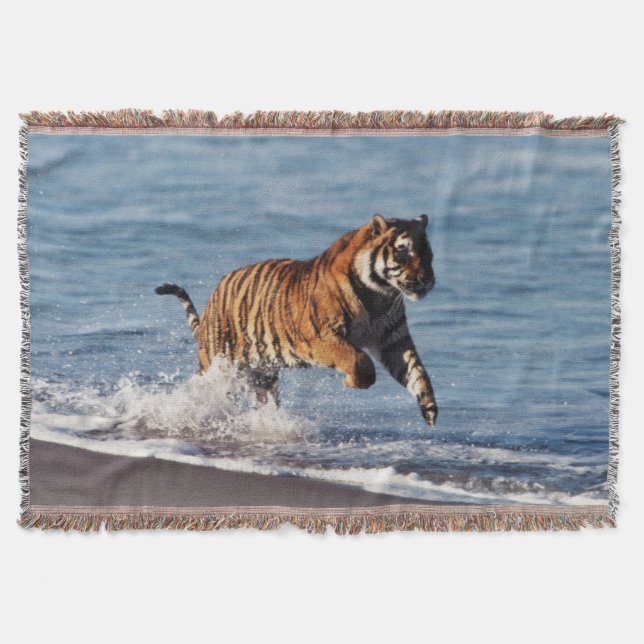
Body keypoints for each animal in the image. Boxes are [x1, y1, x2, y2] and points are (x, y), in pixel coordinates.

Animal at [156, 214, 438, 426]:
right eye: (403, 252)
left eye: (428, 254)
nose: (427, 280)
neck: (380, 294)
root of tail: (213, 297)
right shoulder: (322, 336)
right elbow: (359, 361)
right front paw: (352, 381)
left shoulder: (393, 340)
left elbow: (416, 371)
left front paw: (429, 407)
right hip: (220, 366)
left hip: (262, 375)